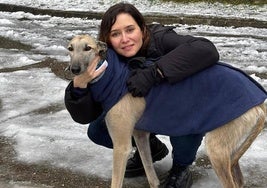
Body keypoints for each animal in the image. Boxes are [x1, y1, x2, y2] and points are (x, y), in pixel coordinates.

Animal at [67, 34, 267, 188]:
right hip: (230, 150)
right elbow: (149, 171)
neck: (113, 77)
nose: (73, 69)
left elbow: (117, 181)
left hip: (217, 149)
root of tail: (260, 104)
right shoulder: (140, 134)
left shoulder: (122, 146)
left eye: (88, 48)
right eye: (70, 48)